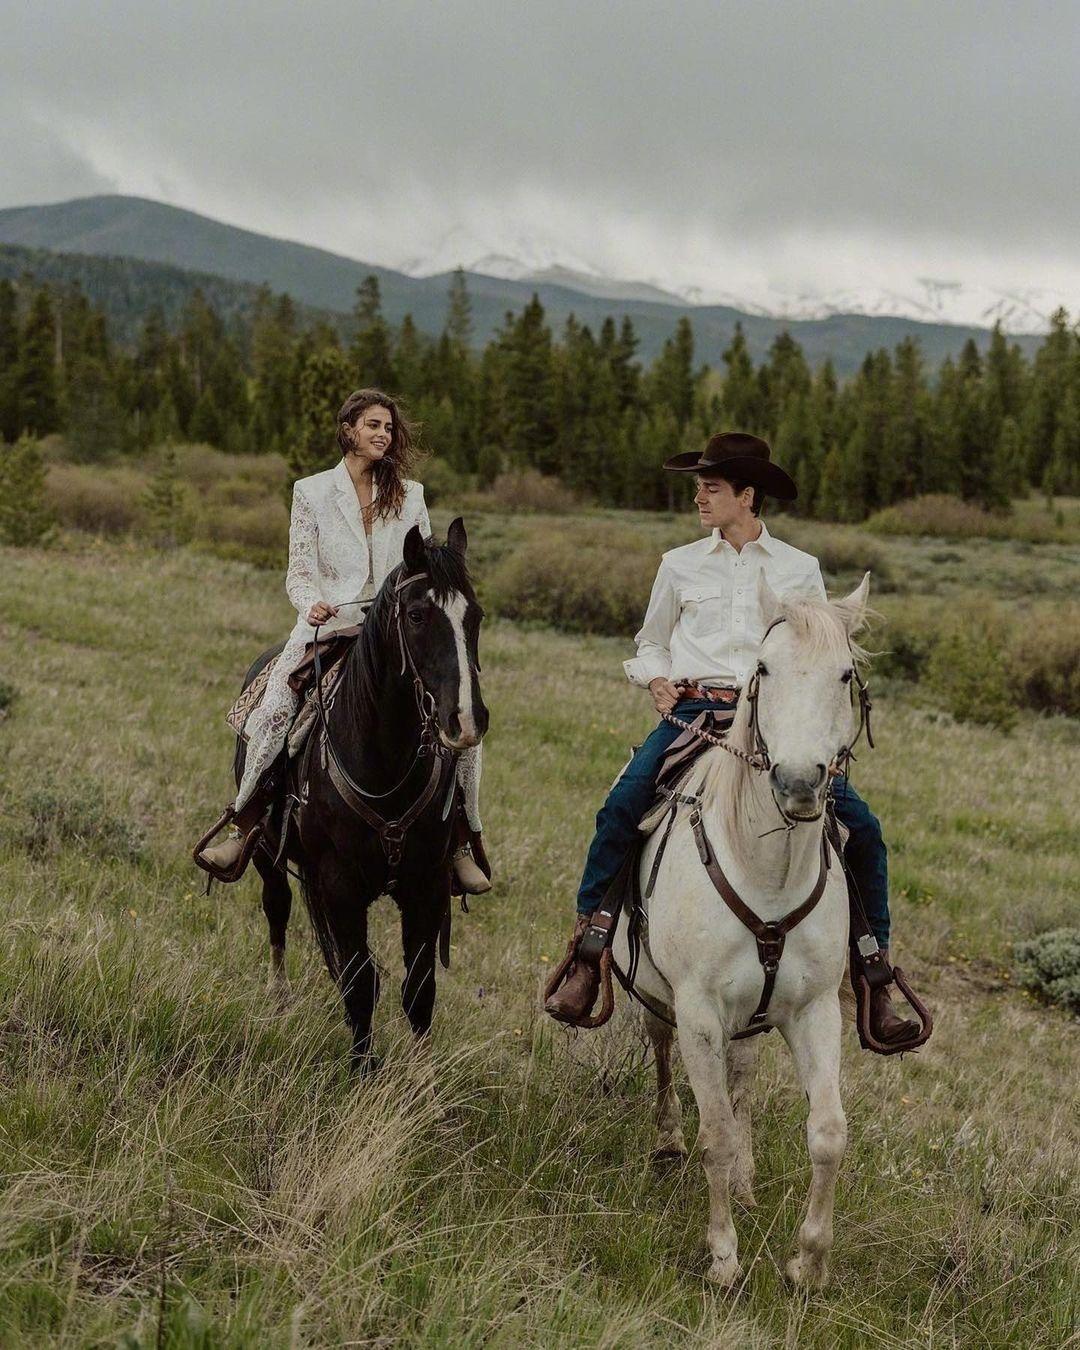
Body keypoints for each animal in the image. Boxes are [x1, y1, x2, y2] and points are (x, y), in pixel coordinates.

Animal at [236, 518, 487, 1071]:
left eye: (476, 616)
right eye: (416, 616)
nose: (466, 719)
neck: (383, 764)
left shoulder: (426, 884)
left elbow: (419, 987)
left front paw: (421, 1078)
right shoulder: (340, 885)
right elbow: (358, 981)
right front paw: (362, 1072)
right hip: (266, 852)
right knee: (277, 908)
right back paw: (278, 997)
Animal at [612, 570, 870, 1289]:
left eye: (845, 674)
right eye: (764, 668)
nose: (798, 780)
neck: (769, 870)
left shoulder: (816, 1009)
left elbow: (827, 1132)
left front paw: (808, 1262)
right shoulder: (698, 1010)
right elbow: (717, 1136)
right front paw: (724, 1259)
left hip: (755, 1015)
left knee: (744, 1076)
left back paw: (751, 1182)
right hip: (658, 996)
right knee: (667, 1059)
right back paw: (669, 1140)